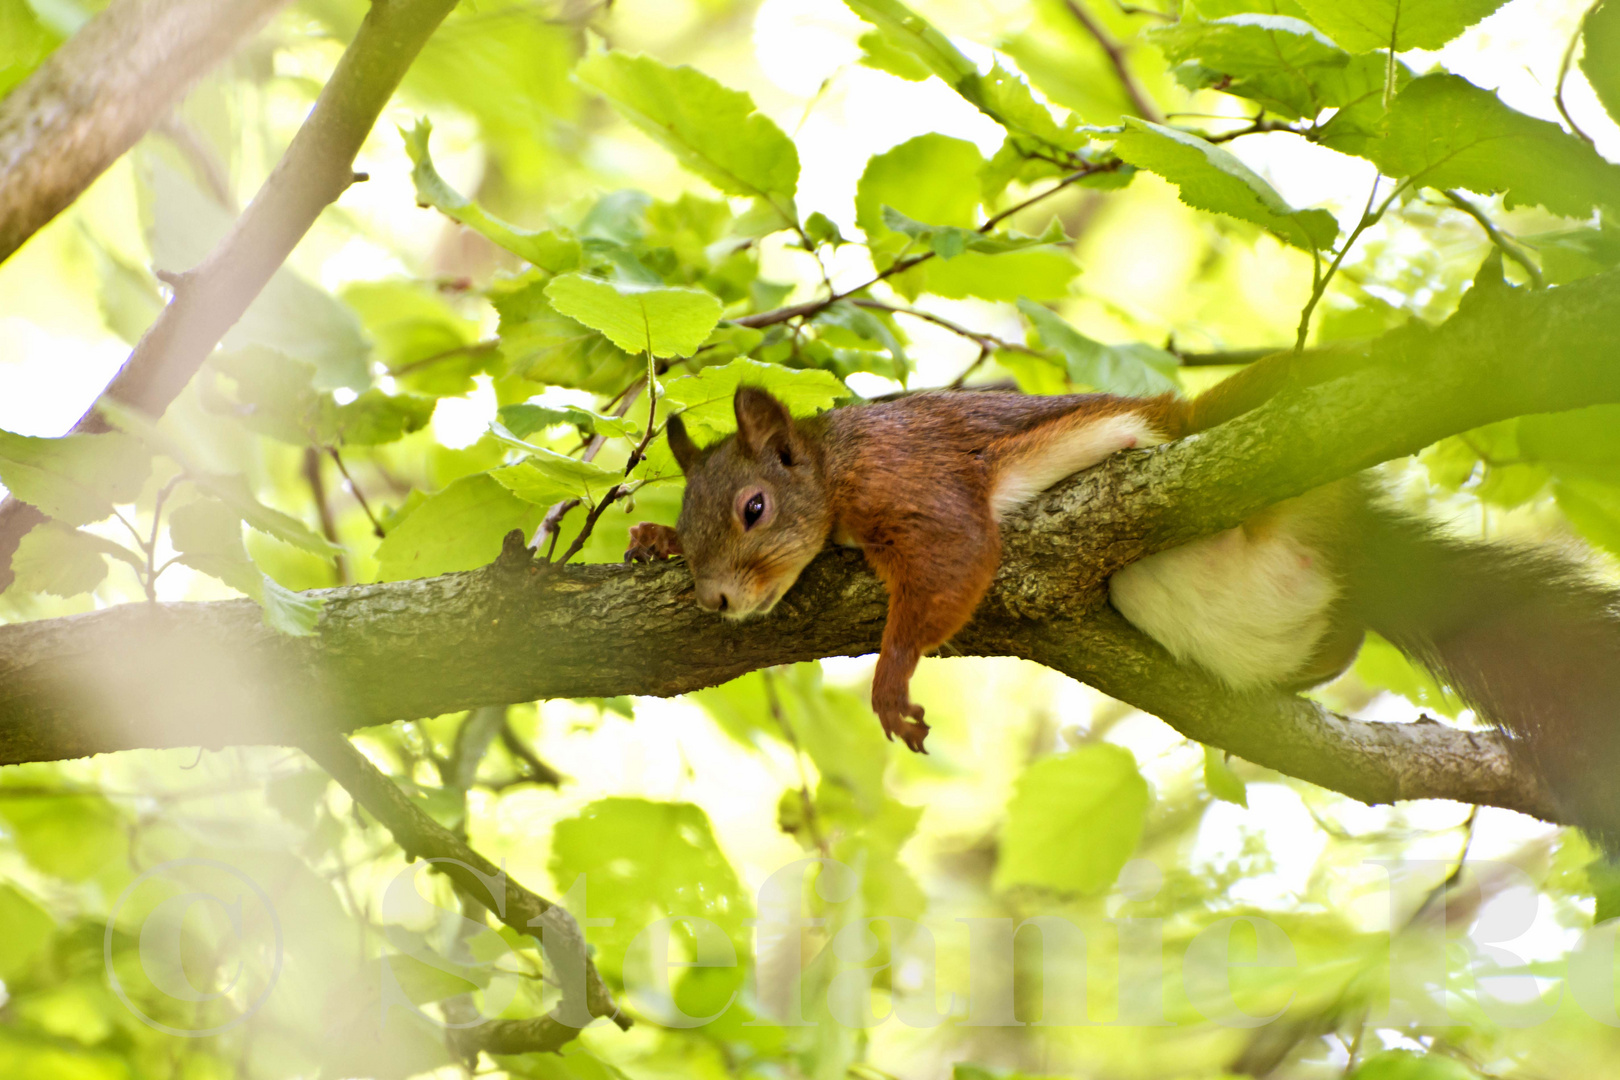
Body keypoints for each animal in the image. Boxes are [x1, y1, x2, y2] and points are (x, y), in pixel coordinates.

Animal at [625, 380, 1620, 841]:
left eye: (754, 509)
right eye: (692, 517)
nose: (716, 597)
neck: (832, 464)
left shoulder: (904, 472)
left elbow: (953, 555)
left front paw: (892, 677)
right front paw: (649, 540)